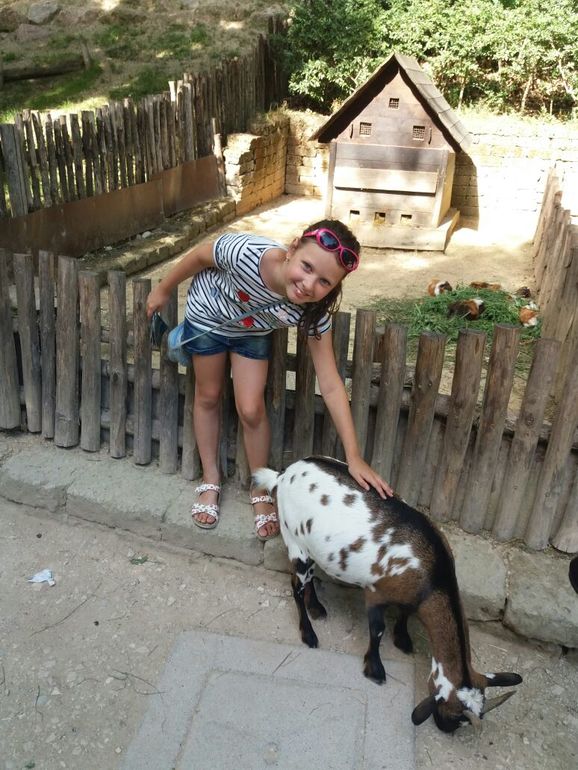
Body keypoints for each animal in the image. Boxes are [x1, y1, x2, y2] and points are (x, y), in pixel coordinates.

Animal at [253, 456, 522, 733]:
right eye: (456, 715)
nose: (446, 729)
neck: (433, 571)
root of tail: (282, 475)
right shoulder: (375, 592)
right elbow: (377, 630)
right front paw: (375, 669)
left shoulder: (411, 595)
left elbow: (405, 613)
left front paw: (402, 639)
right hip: (295, 542)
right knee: (296, 586)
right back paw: (308, 633)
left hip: (310, 545)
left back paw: (317, 608)